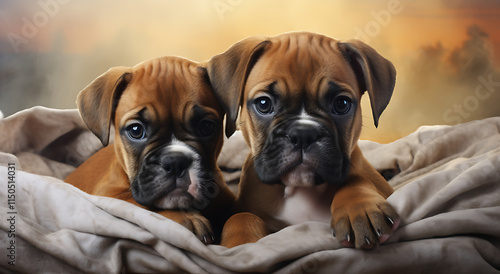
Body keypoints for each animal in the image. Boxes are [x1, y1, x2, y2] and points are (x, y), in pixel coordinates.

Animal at [65, 56, 235, 244]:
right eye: (136, 130)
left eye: (206, 127)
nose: (175, 162)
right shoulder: (109, 195)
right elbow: (144, 206)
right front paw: (188, 218)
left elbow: (241, 215)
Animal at [208, 31, 402, 248]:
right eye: (264, 103)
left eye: (342, 104)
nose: (302, 134)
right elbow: (241, 217)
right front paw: (241, 243)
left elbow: (356, 180)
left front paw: (361, 208)